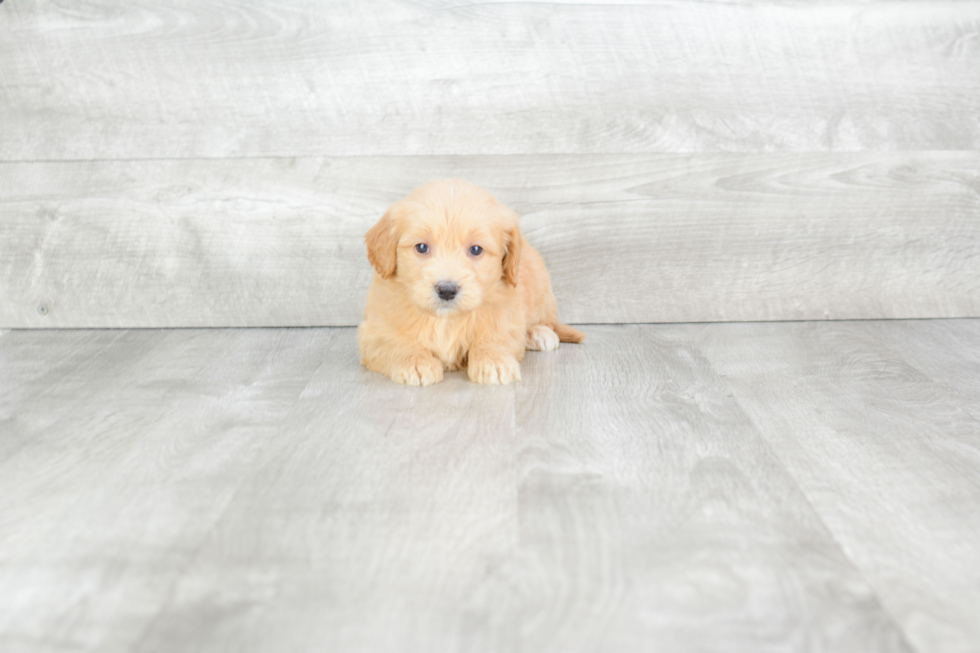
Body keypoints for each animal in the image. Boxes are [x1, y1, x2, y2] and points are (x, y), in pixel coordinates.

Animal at [356, 178, 580, 384]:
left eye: (476, 249)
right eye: (421, 247)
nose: (447, 290)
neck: (446, 320)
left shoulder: (506, 316)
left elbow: (495, 336)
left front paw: (493, 360)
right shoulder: (375, 330)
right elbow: (395, 342)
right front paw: (415, 362)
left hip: (541, 286)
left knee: (546, 320)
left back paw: (539, 333)